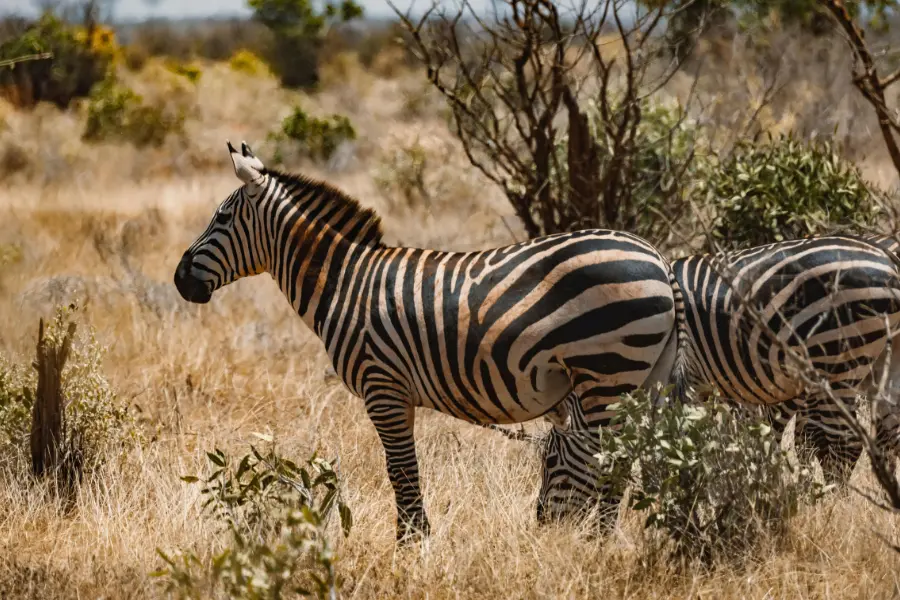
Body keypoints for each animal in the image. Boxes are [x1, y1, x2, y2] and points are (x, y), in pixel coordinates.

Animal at [173, 141, 682, 540]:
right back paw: (601, 544)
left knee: (606, 462)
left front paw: (412, 543)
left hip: (607, 374)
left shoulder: (383, 387)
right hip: (642, 381)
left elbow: (400, 469)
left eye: (221, 218)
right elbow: (403, 469)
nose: (179, 280)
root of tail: (656, 256)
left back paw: (593, 543)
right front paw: (415, 540)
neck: (344, 282)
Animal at [536, 235, 900, 523]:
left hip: (838, 363)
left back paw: (832, 513)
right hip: (881, 365)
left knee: (843, 445)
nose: (543, 522)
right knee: (884, 437)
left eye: (549, 461)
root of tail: (888, 261)